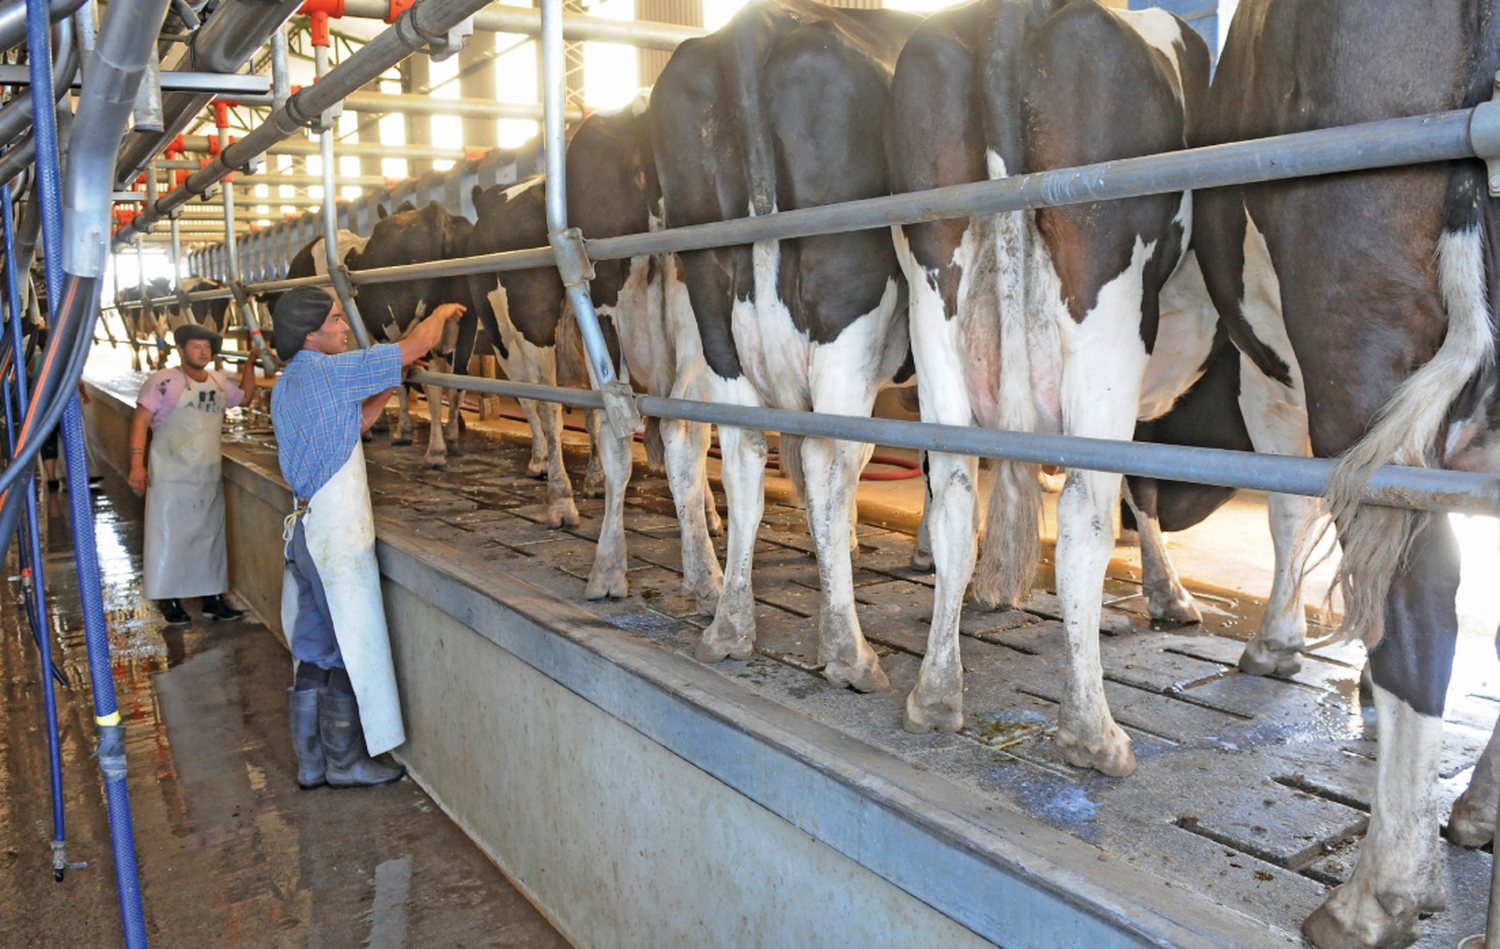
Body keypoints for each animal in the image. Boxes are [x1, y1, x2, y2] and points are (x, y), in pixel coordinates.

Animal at [343, 199, 474, 467]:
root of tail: (439, 216)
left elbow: (400, 383)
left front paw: (402, 432)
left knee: (433, 382)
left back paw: (435, 452)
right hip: (469, 324)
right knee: (458, 381)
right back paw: (452, 440)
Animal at [651, 0, 918, 689]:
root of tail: (756, 25)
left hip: (712, 316)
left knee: (731, 448)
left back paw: (726, 620)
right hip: (846, 307)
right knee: (832, 459)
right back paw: (849, 652)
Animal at [882, 0, 1212, 773]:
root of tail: (1010, 15)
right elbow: (1142, 482)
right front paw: (1169, 594)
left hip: (932, 291)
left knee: (954, 494)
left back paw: (935, 695)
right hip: (1107, 298)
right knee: (1086, 510)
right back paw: (1092, 730)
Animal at [1188, 3, 1494, 941]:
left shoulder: (1267, 375)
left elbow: (1287, 509)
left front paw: (1276, 645)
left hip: (1351, 325)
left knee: (1419, 595)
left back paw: (1377, 893)